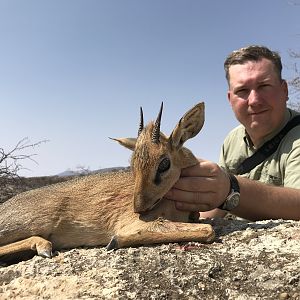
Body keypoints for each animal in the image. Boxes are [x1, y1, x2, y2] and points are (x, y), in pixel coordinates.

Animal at [0, 101, 216, 262]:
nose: (138, 208)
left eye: (164, 163)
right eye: (132, 163)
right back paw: (43, 246)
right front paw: (114, 241)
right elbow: (209, 230)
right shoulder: (135, 224)